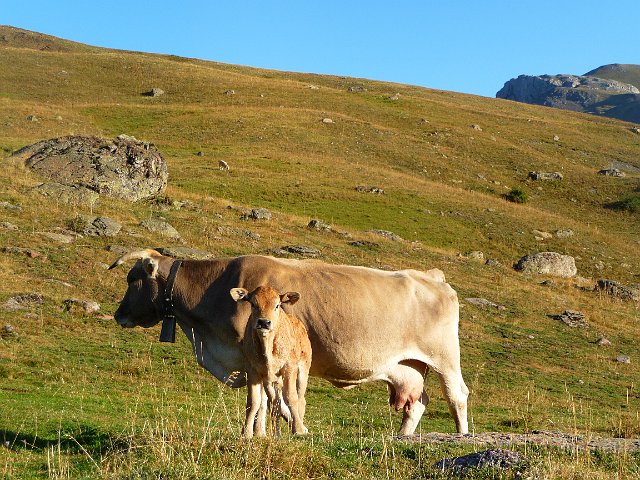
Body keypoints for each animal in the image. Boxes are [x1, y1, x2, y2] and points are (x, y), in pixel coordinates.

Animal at [230, 286, 311, 437]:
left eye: (277, 305)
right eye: (253, 304)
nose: (264, 322)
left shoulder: (289, 367)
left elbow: (291, 397)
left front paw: (298, 429)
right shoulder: (253, 370)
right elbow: (254, 401)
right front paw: (247, 433)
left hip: (304, 368)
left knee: (300, 398)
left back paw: (300, 426)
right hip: (271, 379)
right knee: (272, 402)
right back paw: (271, 432)